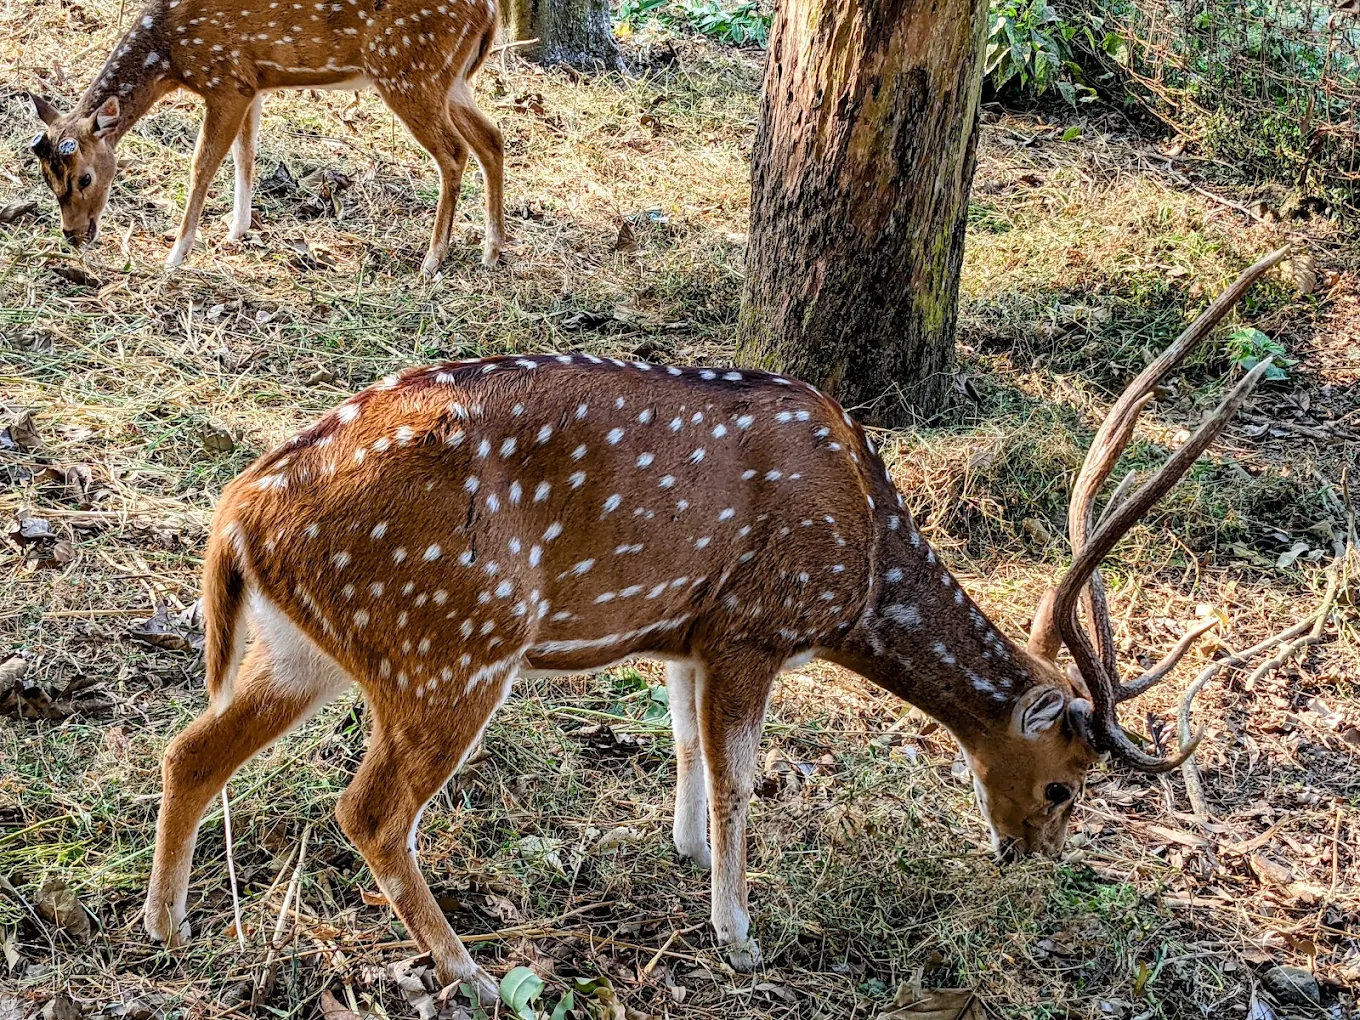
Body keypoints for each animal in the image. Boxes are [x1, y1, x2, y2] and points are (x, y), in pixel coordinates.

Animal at [25, 0, 504, 276]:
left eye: (85, 177)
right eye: (47, 178)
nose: (72, 235)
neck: (170, 57)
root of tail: (491, 14)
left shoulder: (225, 80)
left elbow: (203, 165)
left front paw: (175, 256)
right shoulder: (251, 84)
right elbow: (246, 154)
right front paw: (236, 230)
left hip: (407, 70)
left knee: (454, 152)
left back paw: (433, 260)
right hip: (450, 79)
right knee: (492, 138)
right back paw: (492, 250)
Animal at [143, 249, 1288, 1001]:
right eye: (1063, 784)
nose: (1029, 855)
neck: (861, 561)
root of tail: (239, 510)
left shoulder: (686, 635)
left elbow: (687, 743)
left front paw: (689, 854)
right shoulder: (753, 626)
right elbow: (742, 774)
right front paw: (739, 934)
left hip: (307, 646)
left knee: (190, 747)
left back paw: (171, 924)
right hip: (452, 643)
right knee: (369, 808)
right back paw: (469, 969)